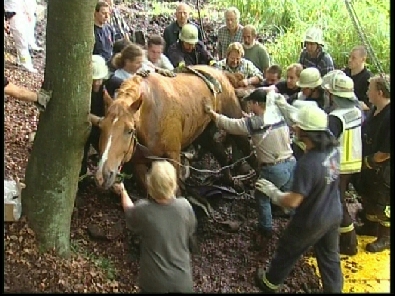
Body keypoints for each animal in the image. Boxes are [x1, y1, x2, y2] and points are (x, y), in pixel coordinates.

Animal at [91, 65, 255, 190]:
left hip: (234, 122)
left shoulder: (173, 157)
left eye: (130, 130)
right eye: (101, 126)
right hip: (202, 134)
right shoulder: (139, 164)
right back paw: (229, 180)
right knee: (221, 153)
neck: (152, 112)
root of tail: (223, 74)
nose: (101, 177)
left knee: (247, 148)